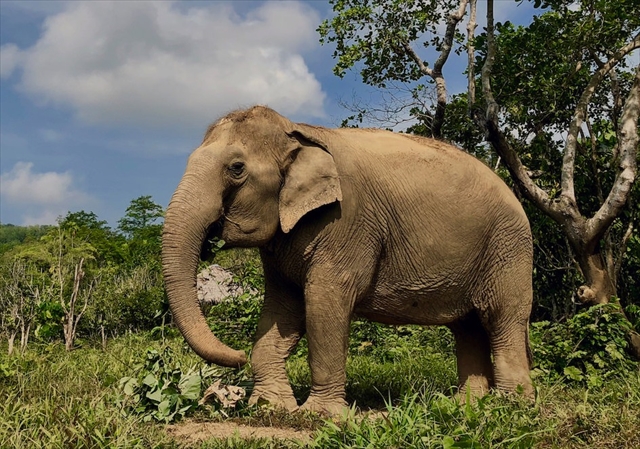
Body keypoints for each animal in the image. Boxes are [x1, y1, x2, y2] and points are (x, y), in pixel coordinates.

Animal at [161, 104, 536, 412]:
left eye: (236, 168)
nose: (235, 359)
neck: (298, 130)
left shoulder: (348, 221)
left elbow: (324, 302)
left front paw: (318, 416)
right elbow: (282, 309)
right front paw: (270, 408)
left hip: (508, 247)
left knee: (502, 318)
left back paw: (511, 406)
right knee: (467, 326)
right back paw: (467, 406)